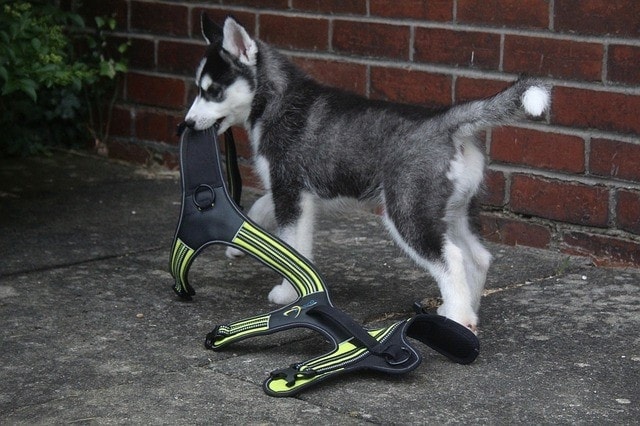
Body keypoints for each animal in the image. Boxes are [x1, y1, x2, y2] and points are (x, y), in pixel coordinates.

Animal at [184, 15, 552, 332]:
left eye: (213, 91)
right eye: (199, 89)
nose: (185, 124)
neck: (275, 100)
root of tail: (445, 120)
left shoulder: (290, 188)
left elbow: (290, 244)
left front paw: (288, 293)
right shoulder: (295, 193)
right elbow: (266, 210)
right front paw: (243, 243)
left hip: (407, 212)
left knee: (452, 258)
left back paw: (460, 319)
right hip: (453, 210)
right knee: (478, 257)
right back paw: (464, 309)